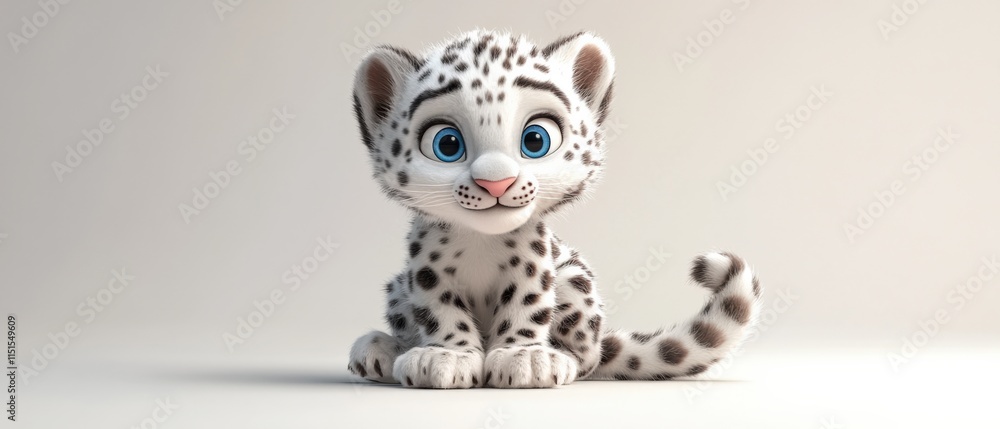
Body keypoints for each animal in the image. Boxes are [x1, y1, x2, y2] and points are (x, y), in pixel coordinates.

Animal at [347, 30, 762, 388]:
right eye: (446, 144)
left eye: (536, 139)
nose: (496, 182)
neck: (481, 243)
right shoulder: (427, 269)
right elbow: (440, 309)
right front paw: (447, 355)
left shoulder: (532, 262)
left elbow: (526, 303)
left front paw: (525, 357)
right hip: (398, 287)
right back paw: (380, 349)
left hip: (575, 281)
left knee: (589, 358)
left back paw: (559, 357)